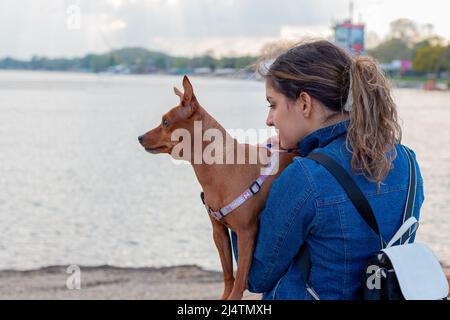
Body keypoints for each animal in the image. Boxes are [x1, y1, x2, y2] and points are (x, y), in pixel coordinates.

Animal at [139, 75, 298, 300]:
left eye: (166, 122)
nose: (140, 137)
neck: (220, 166)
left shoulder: (246, 234)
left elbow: (239, 282)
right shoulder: (219, 232)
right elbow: (228, 276)